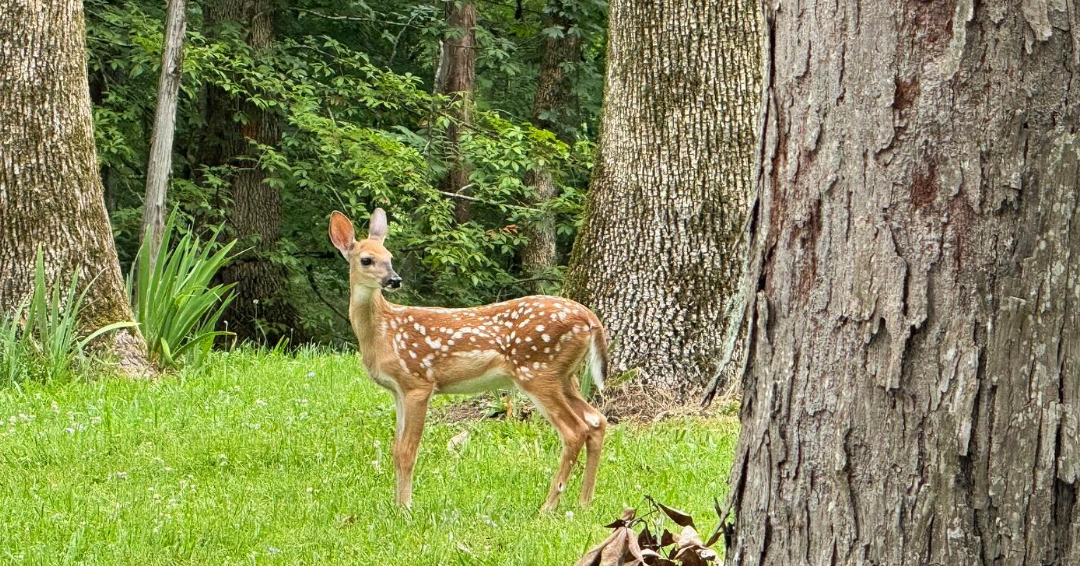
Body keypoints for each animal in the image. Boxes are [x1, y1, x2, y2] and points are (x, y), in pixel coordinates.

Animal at [329, 208, 609, 512]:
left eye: (389, 257)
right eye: (367, 259)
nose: (395, 279)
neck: (383, 333)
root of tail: (589, 318)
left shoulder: (418, 382)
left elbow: (407, 451)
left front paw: (405, 508)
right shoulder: (398, 390)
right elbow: (395, 449)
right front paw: (396, 505)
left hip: (537, 370)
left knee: (575, 430)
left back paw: (547, 507)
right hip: (565, 375)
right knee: (597, 420)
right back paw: (584, 502)